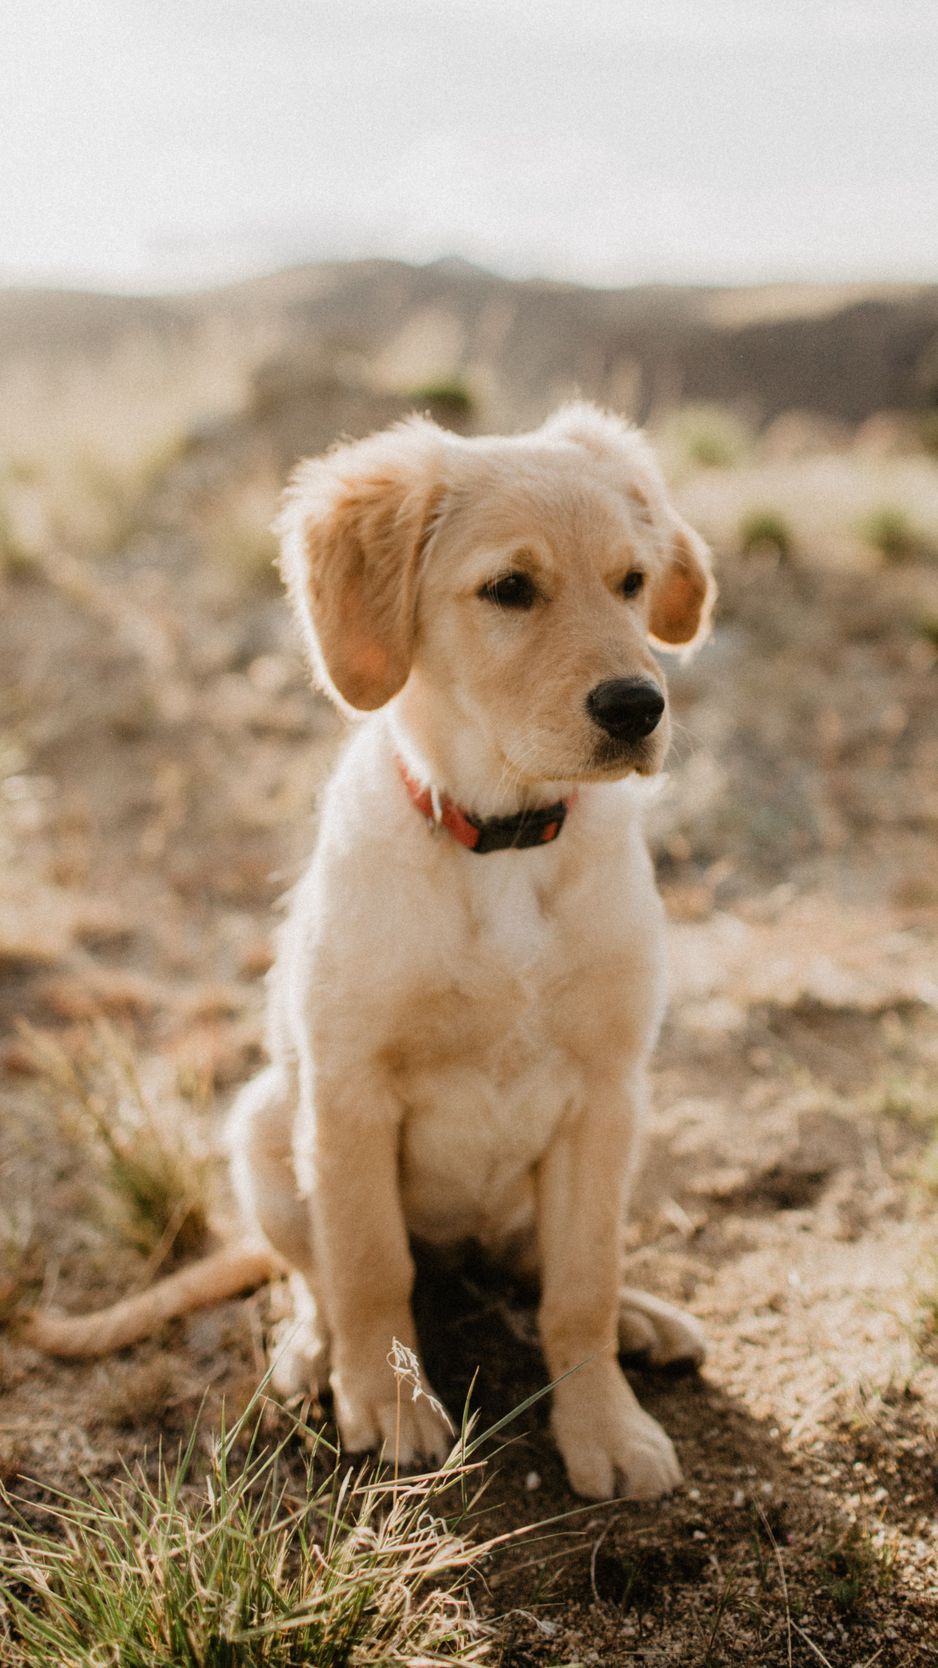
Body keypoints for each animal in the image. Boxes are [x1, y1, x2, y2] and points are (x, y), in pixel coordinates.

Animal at [29, 400, 714, 1501]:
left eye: (634, 582)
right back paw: (313, 1353)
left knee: (544, 1264)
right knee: (315, 1272)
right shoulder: (349, 1093)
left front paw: (603, 1423)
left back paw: (642, 1319)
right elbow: (366, 1265)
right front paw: (387, 1404)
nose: (636, 707)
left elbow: (579, 1284)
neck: (502, 840)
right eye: (509, 589)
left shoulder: (606, 1093)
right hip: (267, 1124)